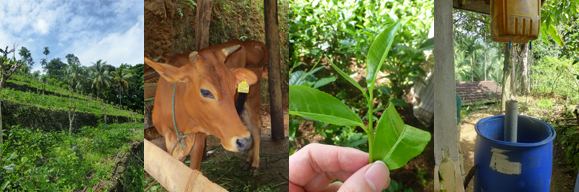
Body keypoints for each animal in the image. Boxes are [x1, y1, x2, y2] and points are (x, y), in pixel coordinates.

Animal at [145, 39, 268, 175]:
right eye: (205, 92)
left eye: (233, 88)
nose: (244, 141)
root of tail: (248, 42)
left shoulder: (199, 139)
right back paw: (248, 161)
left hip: (253, 96)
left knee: (256, 127)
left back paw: (254, 164)